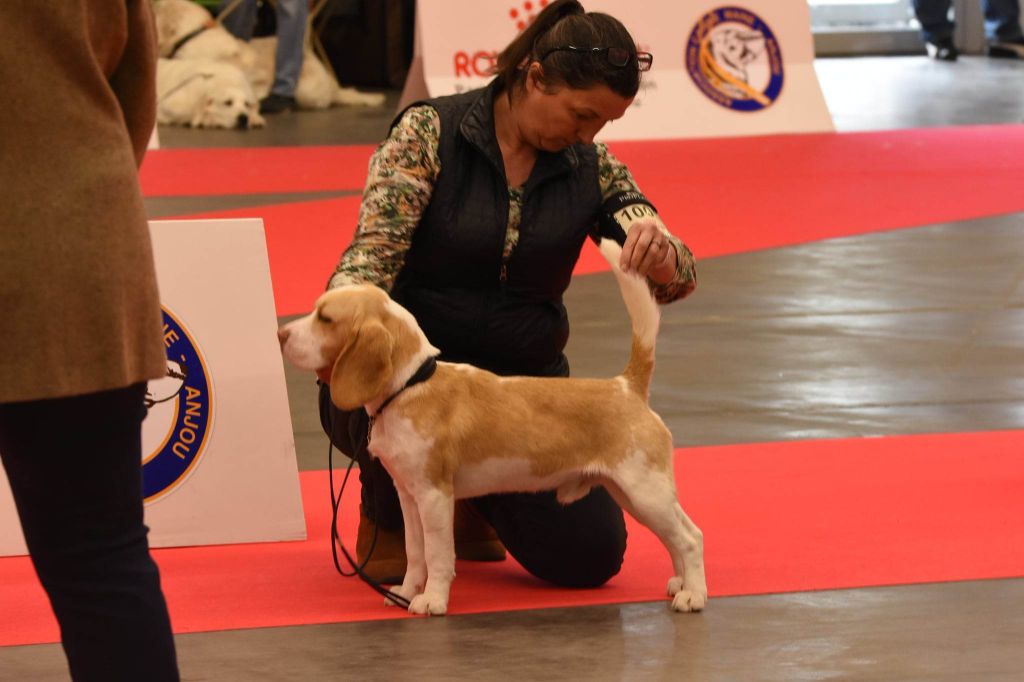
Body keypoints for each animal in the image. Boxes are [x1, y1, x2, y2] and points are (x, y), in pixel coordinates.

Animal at [276, 238, 708, 614]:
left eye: (325, 318)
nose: (280, 333)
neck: (410, 386)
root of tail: (626, 385)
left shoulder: (434, 496)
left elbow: (438, 555)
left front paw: (433, 600)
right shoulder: (408, 495)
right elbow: (416, 553)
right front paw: (408, 591)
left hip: (645, 490)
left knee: (690, 537)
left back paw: (694, 596)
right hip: (633, 493)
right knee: (679, 534)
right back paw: (681, 583)